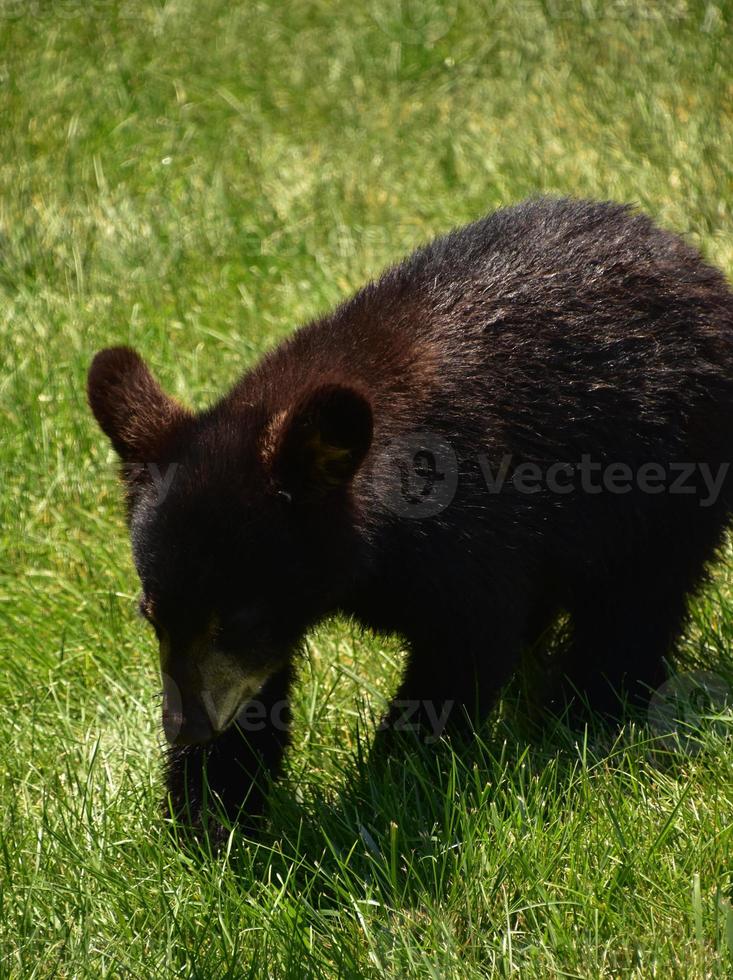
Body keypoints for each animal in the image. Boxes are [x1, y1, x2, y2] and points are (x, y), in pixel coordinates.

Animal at [87, 199, 732, 844]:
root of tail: (690, 258)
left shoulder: (472, 532)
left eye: (236, 619)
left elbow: (465, 644)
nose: (187, 728)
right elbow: (256, 686)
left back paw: (584, 711)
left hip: (671, 478)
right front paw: (211, 813)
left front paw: (392, 787)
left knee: (638, 601)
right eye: (150, 615)